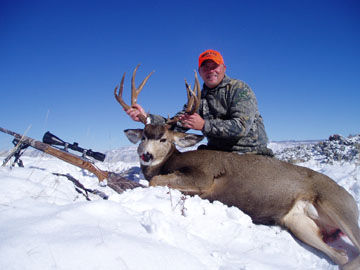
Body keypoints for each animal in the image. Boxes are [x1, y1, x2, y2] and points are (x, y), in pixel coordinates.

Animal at [114, 65, 360, 270]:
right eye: (143, 137)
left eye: (164, 139)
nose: (146, 155)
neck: (171, 161)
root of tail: (349, 197)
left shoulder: (204, 176)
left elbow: (155, 180)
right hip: (298, 223)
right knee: (342, 256)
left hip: (337, 204)